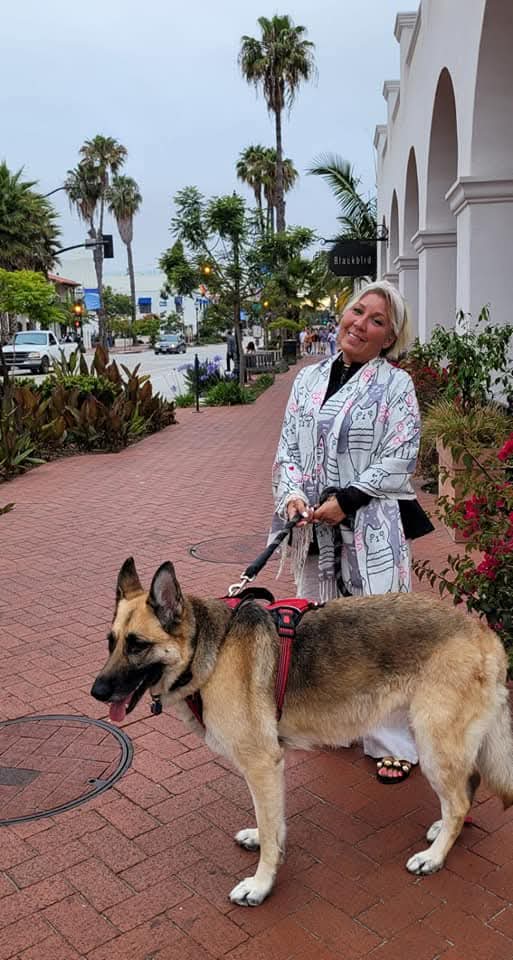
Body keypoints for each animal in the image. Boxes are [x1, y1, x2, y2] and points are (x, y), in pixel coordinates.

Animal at [91, 557, 513, 906]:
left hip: (432, 743)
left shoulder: (262, 764)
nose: (96, 692)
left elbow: (269, 826)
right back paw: (443, 831)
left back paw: (434, 856)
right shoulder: (269, 769)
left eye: (137, 645)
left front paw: (260, 885)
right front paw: (264, 842)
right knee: (467, 787)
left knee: (459, 800)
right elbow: (271, 823)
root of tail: (485, 633)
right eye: (110, 643)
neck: (210, 651)